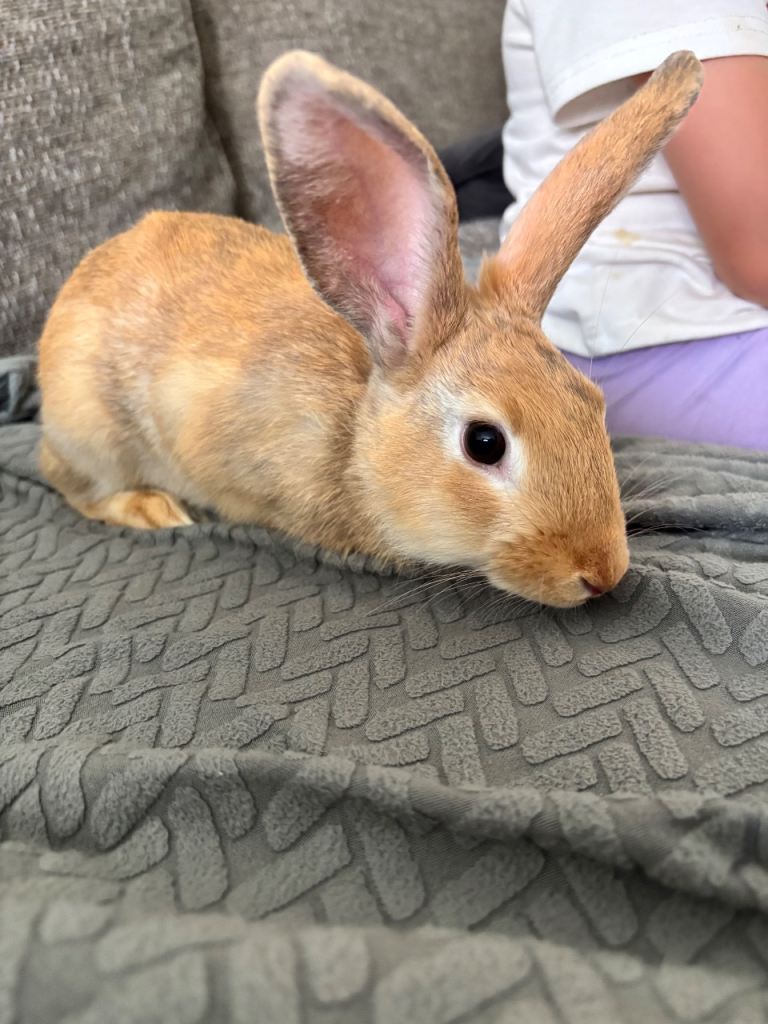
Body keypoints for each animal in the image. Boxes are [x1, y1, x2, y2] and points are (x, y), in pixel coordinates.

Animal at [37, 50, 702, 608]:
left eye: (594, 404)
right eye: (485, 443)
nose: (603, 573)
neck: (357, 438)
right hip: (95, 433)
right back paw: (150, 508)